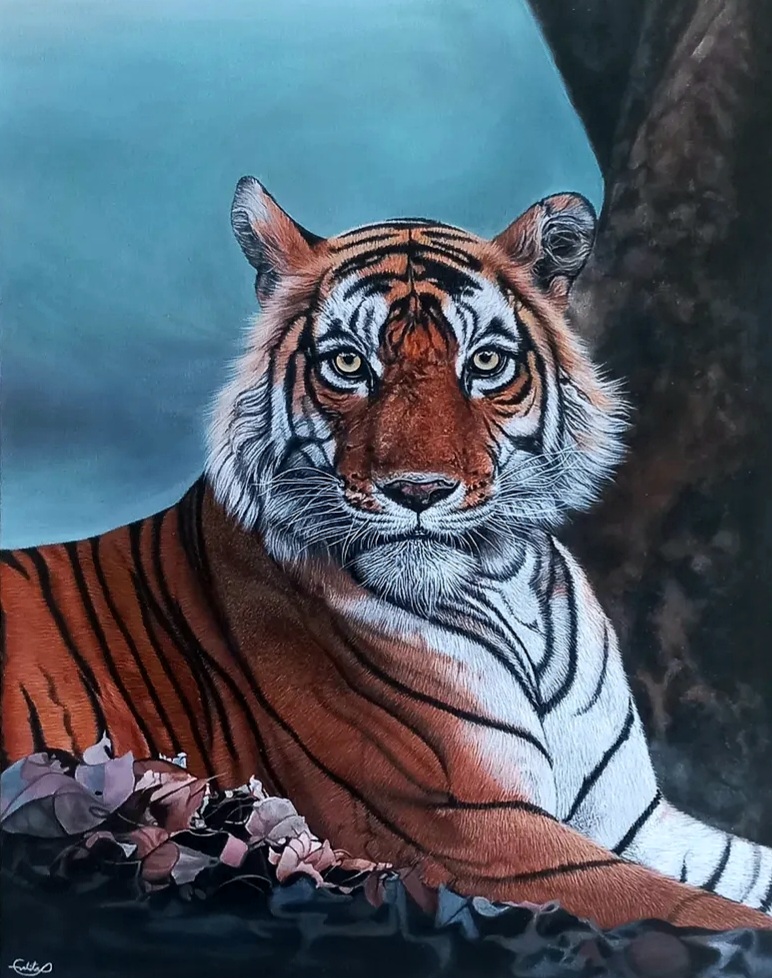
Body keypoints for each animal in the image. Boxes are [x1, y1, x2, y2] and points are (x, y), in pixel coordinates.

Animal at [2, 176, 772, 932]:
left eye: (486, 363)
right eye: (348, 363)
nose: (419, 489)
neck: (508, 584)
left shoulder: (632, 819)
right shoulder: (477, 832)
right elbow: (692, 908)